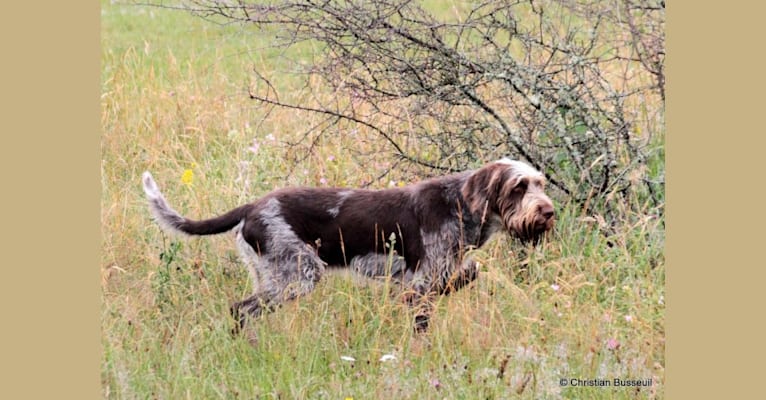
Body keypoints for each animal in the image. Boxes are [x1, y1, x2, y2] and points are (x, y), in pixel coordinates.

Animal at [142, 159, 552, 332]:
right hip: (298, 276)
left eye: (540, 183)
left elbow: (469, 272)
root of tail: (253, 206)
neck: (458, 205)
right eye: (518, 186)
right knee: (240, 310)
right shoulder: (419, 288)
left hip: (273, 277)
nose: (548, 211)